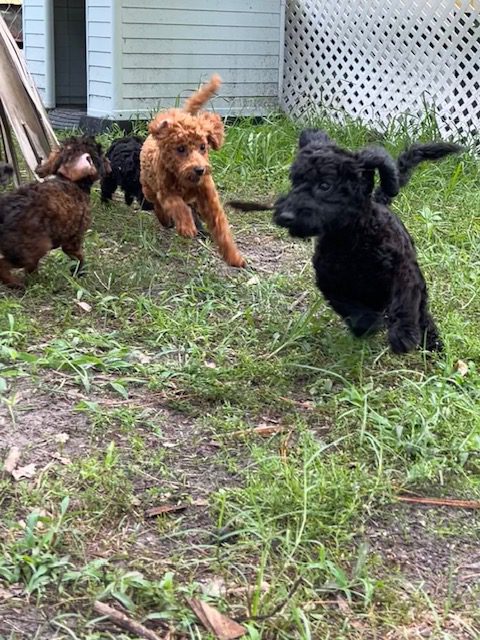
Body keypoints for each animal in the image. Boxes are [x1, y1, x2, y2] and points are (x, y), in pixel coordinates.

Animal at [0, 136, 109, 288]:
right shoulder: (73, 239)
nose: (109, 163)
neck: (72, 182)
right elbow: (78, 256)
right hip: (32, 248)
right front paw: (79, 272)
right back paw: (16, 283)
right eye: (100, 155)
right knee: (4, 265)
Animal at [231, 131, 464, 356]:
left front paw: (403, 334)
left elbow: (405, 302)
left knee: (422, 315)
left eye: (325, 185)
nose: (285, 215)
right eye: (295, 182)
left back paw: (433, 344)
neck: (351, 239)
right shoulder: (329, 281)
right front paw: (367, 324)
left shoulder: (404, 271)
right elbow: (349, 307)